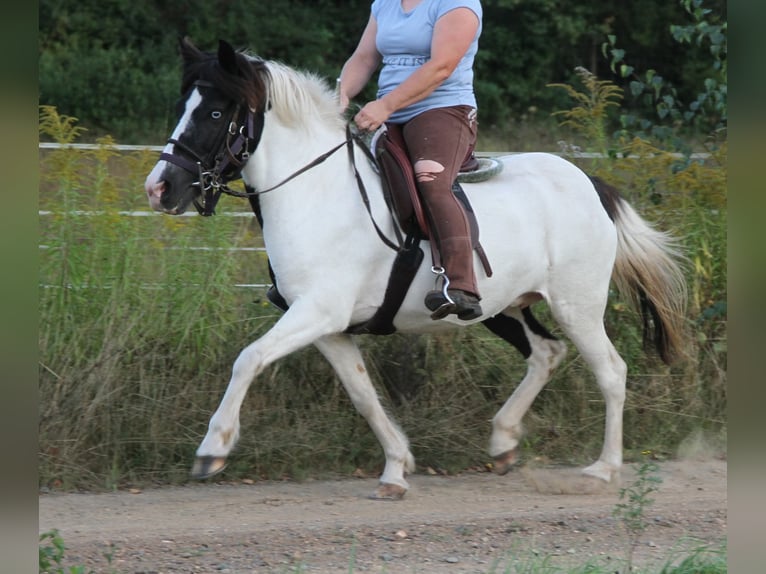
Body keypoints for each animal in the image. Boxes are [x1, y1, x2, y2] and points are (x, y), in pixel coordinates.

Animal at [144, 38, 687, 500]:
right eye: (183, 106)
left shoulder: (317, 312)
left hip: (578, 306)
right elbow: (363, 394)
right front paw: (396, 468)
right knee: (545, 353)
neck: (315, 192)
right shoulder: (328, 327)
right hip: (500, 307)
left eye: (216, 112)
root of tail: (588, 181)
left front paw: (213, 449)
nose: (160, 189)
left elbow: (249, 358)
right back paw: (504, 441)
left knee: (610, 371)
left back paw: (603, 469)